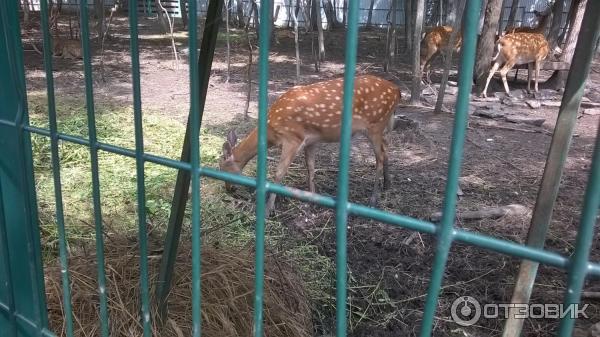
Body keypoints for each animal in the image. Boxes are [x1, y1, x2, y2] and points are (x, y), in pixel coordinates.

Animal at [218, 75, 400, 214]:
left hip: (376, 123)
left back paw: (373, 199)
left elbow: (279, 172)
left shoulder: (293, 138)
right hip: (383, 125)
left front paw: (268, 209)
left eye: (221, 168)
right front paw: (313, 199)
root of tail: (397, 90)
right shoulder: (311, 141)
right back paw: (387, 184)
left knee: (379, 157)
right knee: (386, 149)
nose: (228, 189)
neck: (271, 131)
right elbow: (310, 168)